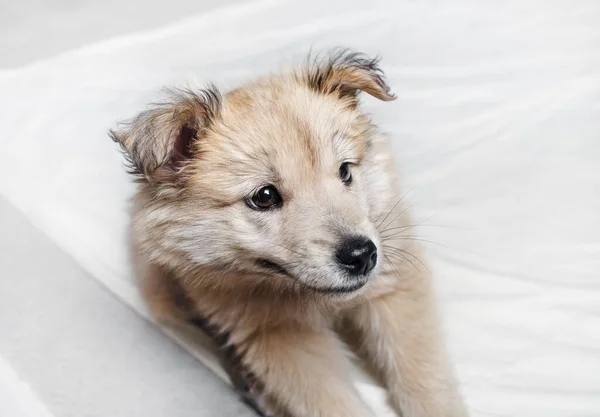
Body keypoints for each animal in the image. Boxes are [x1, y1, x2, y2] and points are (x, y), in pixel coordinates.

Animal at [111, 50, 468, 414]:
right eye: (264, 196)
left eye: (345, 171)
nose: (362, 255)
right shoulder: (281, 337)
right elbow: (334, 403)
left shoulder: (395, 286)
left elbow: (422, 375)